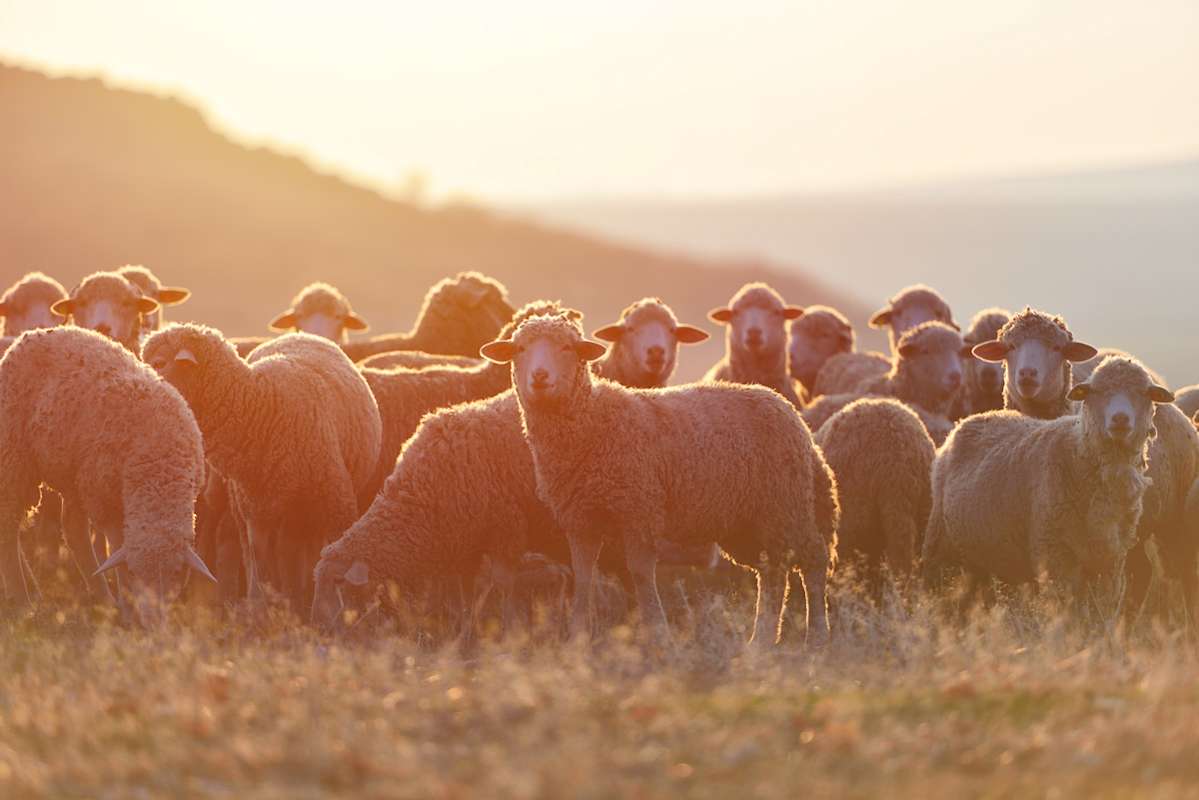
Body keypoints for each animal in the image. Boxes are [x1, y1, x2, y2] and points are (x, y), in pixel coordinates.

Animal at [0, 327, 215, 624]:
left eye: (175, 573)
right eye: (136, 572)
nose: (153, 624)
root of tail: (30, 335)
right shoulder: (106, 502)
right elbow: (116, 549)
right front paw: (127, 606)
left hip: (75, 475)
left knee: (73, 530)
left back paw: (87, 596)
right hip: (15, 457)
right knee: (8, 525)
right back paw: (22, 599)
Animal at [142, 324, 382, 611]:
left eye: (159, 362)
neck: (264, 408)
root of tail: (297, 334)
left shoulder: (337, 502)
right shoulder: (257, 513)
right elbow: (261, 570)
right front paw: (265, 610)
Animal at [481, 313, 838, 648]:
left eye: (567, 348)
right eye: (520, 349)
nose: (539, 376)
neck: (592, 420)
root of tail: (791, 413)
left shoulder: (639, 508)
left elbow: (640, 574)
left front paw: (659, 634)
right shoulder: (580, 519)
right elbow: (583, 577)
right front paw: (577, 639)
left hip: (787, 503)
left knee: (813, 559)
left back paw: (818, 635)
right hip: (750, 520)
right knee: (773, 571)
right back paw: (761, 639)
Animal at [922, 356, 1173, 615]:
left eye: (1144, 393)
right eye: (1097, 391)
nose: (1120, 419)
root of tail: (971, 419)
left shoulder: (1110, 562)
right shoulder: (1055, 557)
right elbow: (1065, 612)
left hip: (981, 554)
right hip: (939, 543)